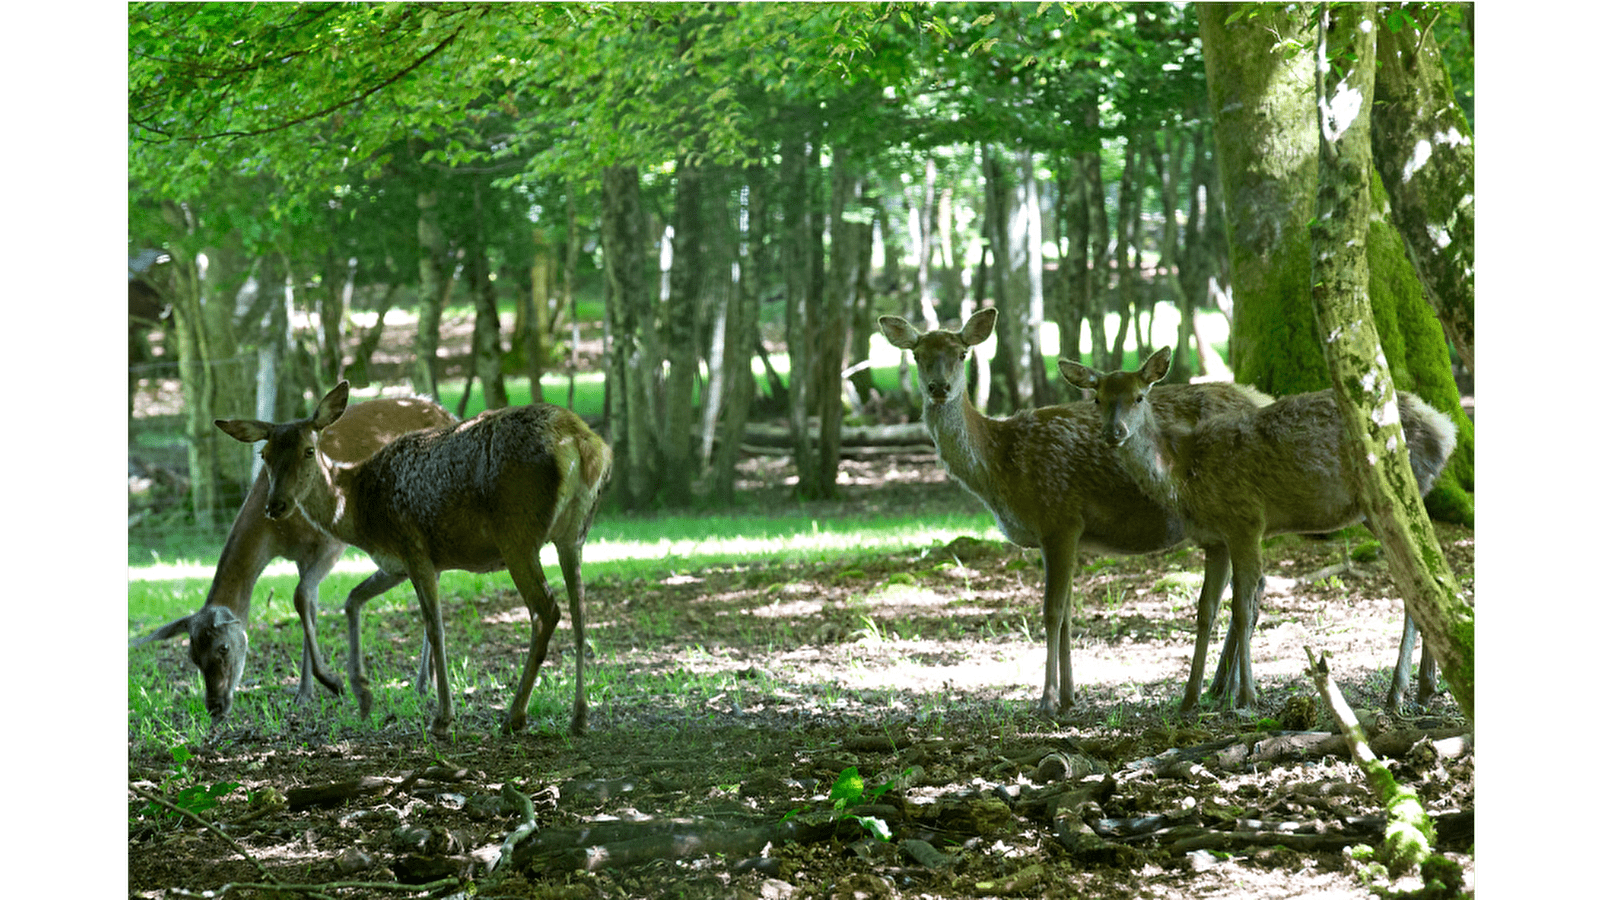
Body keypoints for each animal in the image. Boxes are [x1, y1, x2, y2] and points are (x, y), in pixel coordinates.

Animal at [130, 392, 457, 720]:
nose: (215, 707)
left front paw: (330, 682)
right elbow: (308, 607)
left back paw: (422, 683)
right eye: (192, 655)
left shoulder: (329, 544)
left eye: (223, 648)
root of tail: (448, 413)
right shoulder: (301, 557)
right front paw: (305, 691)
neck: (277, 538)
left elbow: (300, 597)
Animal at [214, 379, 611, 736]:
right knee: (579, 611)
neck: (357, 510)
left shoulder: (414, 547)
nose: (275, 505)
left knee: (547, 610)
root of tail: (582, 443)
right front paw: (359, 692)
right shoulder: (394, 564)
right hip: (574, 534)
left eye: (308, 450)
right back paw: (579, 716)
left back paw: (515, 716)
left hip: (517, 534)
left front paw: (442, 717)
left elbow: (435, 628)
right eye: (264, 455)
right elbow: (352, 600)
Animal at [876, 307, 1273, 714]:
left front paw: (1048, 700)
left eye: (961, 354)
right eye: (917, 355)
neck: (1001, 463)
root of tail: (1260, 399)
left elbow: (1052, 613)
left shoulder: (1059, 517)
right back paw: (1221, 687)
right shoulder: (1062, 534)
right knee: (1252, 587)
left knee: (1252, 588)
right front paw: (1068, 696)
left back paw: (1226, 689)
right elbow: (1067, 613)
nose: (938, 388)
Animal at [1062, 344, 1465, 707]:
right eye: (1097, 398)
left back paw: (1398, 692)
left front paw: (1246, 697)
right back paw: (1426, 688)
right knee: (1429, 568)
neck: (1183, 470)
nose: (1114, 432)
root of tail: (1447, 430)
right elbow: (1205, 611)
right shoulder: (1214, 540)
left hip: (1391, 496)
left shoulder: (1246, 521)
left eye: (1140, 396)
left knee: (1416, 582)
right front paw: (1189, 699)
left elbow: (1242, 610)